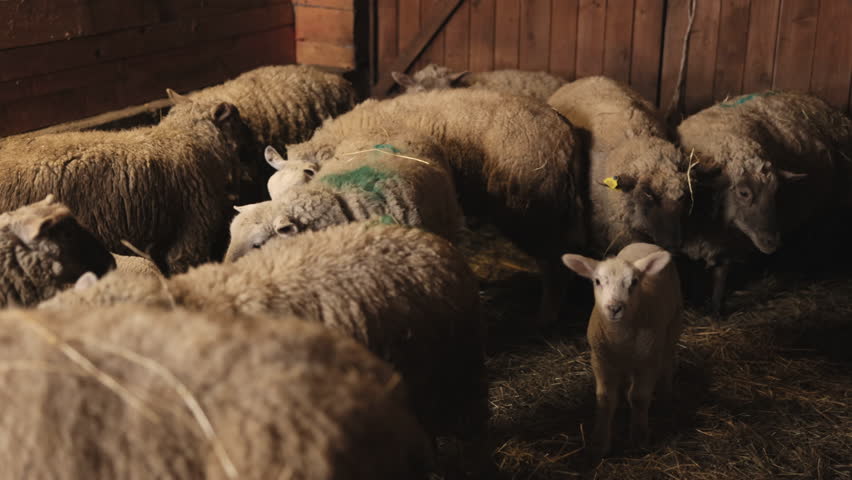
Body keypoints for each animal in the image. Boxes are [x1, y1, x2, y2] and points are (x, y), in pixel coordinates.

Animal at [562, 243, 683, 459]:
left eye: (634, 282)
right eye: (597, 281)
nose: (615, 308)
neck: (620, 338)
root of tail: (644, 244)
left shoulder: (648, 360)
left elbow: (639, 397)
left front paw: (639, 438)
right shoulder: (600, 359)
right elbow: (606, 399)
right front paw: (599, 443)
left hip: (674, 323)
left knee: (668, 361)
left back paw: (665, 397)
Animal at [677, 90, 852, 312]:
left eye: (776, 192)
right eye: (743, 193)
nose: (773, 241)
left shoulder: (729, 246)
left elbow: (720, 279)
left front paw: (715, 311)